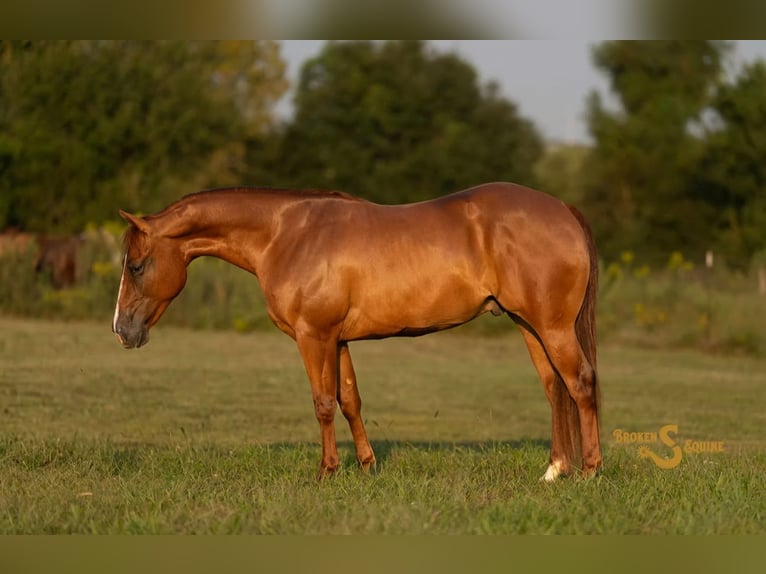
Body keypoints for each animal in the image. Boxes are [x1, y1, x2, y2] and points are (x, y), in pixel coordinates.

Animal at [112, 182, 601, 481]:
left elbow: (323, 403)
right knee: (554, 388)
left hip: (552, 327)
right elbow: (350, 400)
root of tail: (563, 209)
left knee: (580, 383)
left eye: (135, 266)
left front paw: (327, 471)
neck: (284, 234)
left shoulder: (314, 337)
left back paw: (590, 470)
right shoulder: (339, 339)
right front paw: (366, 466)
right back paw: (554, 470)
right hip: (529, 325)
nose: (121, 331)